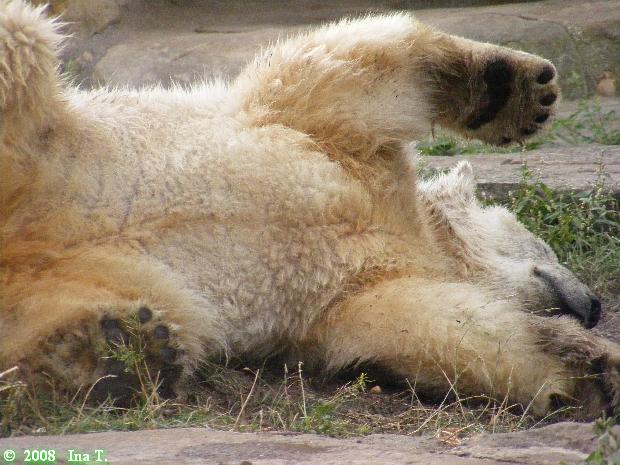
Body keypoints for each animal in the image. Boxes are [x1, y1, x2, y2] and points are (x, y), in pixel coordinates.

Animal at [0, 0, 617, 418]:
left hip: (87, 272)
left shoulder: (351, 292)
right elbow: (350, 69)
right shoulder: (325, 137)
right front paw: (515, 91)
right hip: (54, 144)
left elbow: (432, 325)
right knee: (23, 41)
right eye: (544, 243)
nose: (592, 304)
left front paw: (590, 373)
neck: (411, 227)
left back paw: (108, 351)